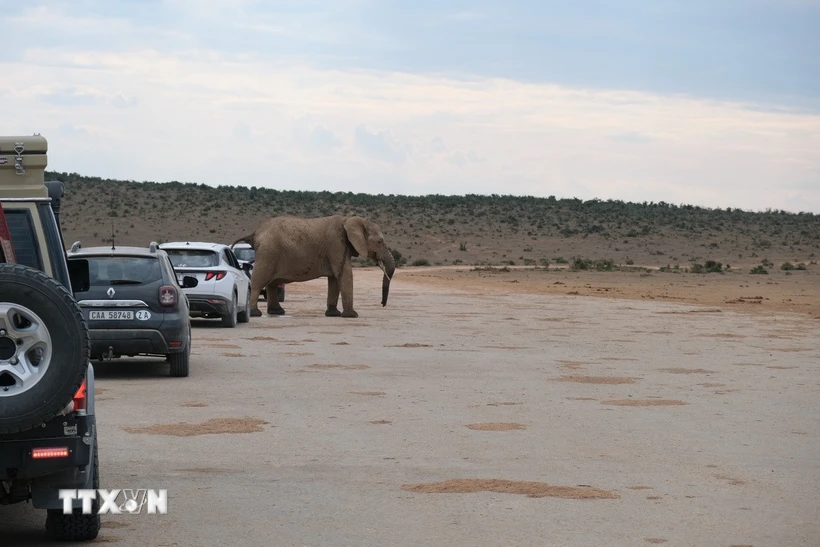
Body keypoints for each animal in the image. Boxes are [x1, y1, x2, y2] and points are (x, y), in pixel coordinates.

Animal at [232, 214, 396, 316]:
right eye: (379, 242)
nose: (382, 304)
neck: (348, 219)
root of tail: (255, 233)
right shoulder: (337, 244)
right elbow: (344, 274)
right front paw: (352, 315)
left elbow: (335, 279)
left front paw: (333, 314)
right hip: (268, 252)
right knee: (259, 281)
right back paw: (255, 313)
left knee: (272, 283)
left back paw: (277, 312)